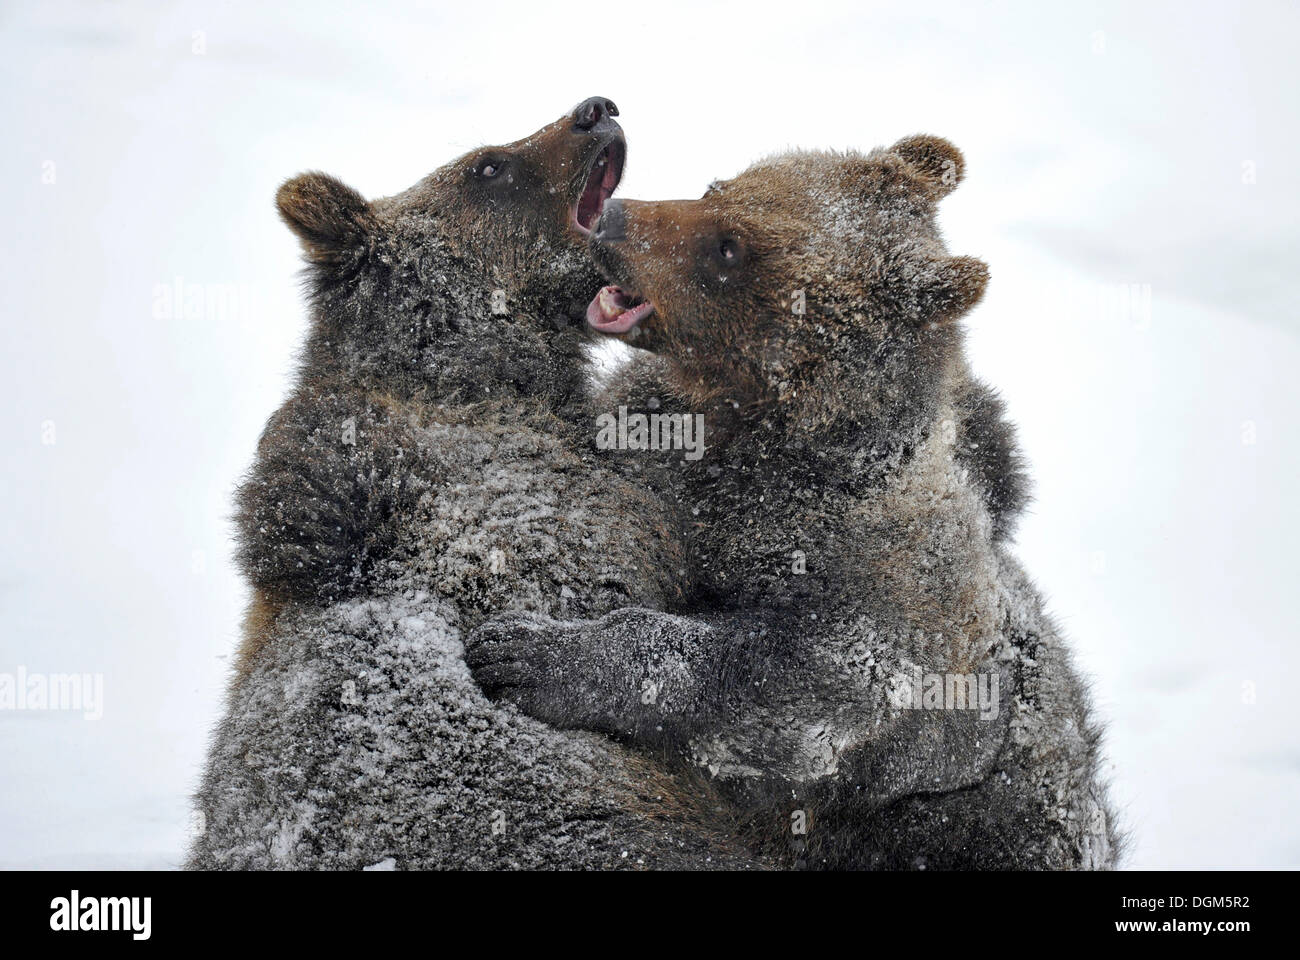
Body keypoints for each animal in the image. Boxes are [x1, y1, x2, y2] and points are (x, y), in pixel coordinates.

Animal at [467, 136, 1118, 868]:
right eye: (717, 185)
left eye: (730, 250)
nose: (611, 220)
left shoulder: (889, 593)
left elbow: (797, 684)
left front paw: (530, 653)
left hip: (983, 817)